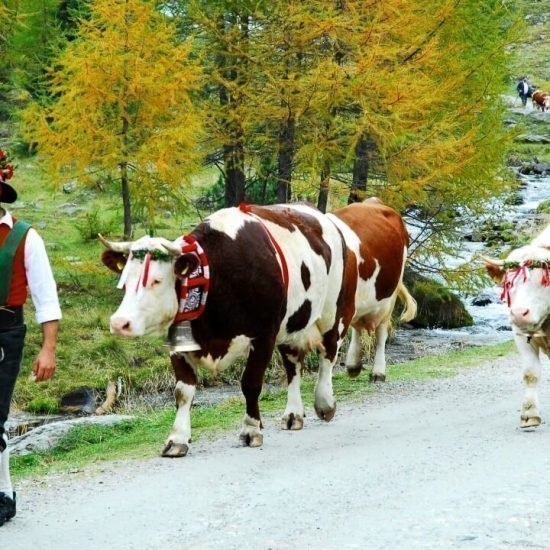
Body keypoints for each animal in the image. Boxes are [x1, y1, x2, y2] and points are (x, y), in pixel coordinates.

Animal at [101, 201, 416, 460]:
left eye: (155, 280)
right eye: (125, 280)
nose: (119, 322)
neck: (217, 278)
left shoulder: (263, 335)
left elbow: (250, 384)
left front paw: (251, 430)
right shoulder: (180, 343)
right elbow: (182, 391)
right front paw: (177, 439)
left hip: (335, 310)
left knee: (331, 352)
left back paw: (326, 402)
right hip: (293, 324)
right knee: (293, 366)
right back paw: (293, 413)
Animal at [486, 225, 550, 432]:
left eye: (543, 282)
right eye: (509, 283)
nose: (519, 313)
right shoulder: (520, 335)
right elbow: (530, 373)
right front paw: (529, 415)